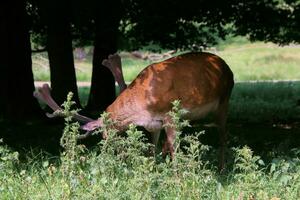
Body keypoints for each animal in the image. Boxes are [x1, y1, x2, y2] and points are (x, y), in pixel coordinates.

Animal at [34, 51, 234, 169]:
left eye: (105, 134)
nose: (108, 154)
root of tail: (227, 67)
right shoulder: (153, 124)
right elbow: (152, 149)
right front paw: (152, 171)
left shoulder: (170, 115)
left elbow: (175, 149)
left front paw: (177, 179)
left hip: (225, 100)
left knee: (223, 137)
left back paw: (222, 169)